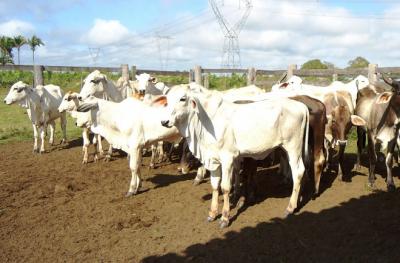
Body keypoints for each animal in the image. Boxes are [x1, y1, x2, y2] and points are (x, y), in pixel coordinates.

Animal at [161, 86, 310, 229]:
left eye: (182, 98)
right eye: (167, 100)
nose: (164, 121)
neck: (207, 121)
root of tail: (302, 106)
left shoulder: (227, 158)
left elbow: (225, 187)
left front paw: (224, 218)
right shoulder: (213, 159)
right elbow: (215, 186)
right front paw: (212, 214)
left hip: (293, 147)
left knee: (298, 172)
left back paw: (290, 207)